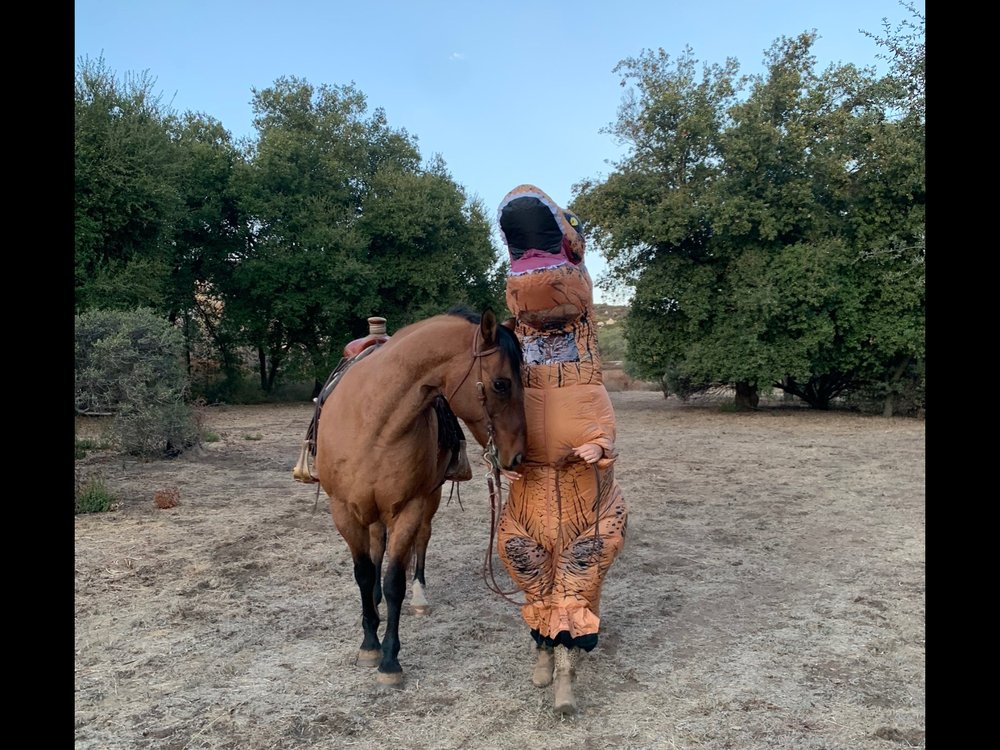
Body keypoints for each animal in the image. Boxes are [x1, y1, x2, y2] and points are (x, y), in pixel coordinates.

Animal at [313, 307, 527, 686]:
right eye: (501, 383)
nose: (517, 457)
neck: (375, 422)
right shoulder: (344, 510)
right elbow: (364, 572)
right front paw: (369, 643)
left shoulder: (409, 508)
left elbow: (395, 580)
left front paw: (389, 659)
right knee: (376, 545)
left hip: (429, 498)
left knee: (422, 540)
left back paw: (420, 596)